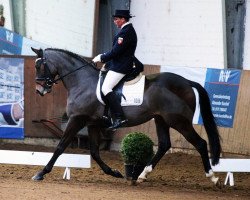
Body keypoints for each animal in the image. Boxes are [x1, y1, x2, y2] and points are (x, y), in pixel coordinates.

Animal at [30, 47, 221, 185]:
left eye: (39, 66)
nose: (39, 90)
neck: (82, 83)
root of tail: (187, 82)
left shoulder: (77, 119)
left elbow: (60, 147)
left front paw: (41, 173)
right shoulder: (92, 124)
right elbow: (94, 152)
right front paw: (114, 172)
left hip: (179, 121)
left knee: (200, 143)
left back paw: (213, 177)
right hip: (161, 120)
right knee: (164, 145)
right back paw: (142, 175)